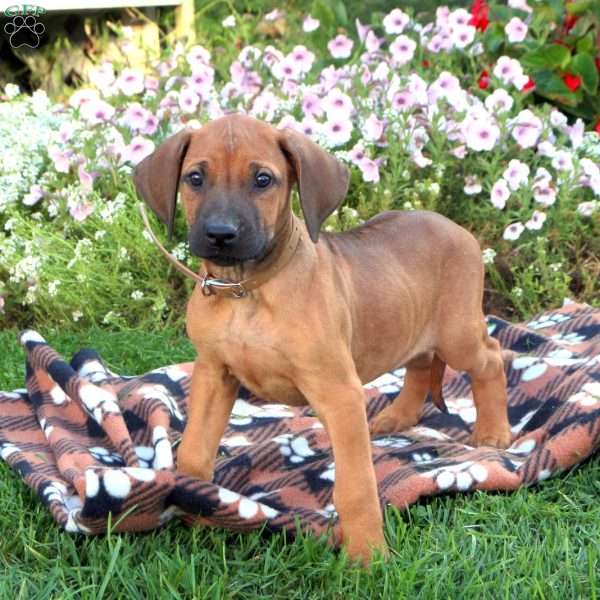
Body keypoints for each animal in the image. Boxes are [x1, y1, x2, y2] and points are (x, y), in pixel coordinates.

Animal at [132, 112, 510, 564]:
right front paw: (195, 503)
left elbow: (356, 487)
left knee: (491, 356)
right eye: (194, 178)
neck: (246, 290)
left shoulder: (339, 393)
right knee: (420, 365)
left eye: (263, 180)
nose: (221, 234)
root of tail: (458, 229)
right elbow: (193, 450)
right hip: (408, 323)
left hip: (457, 332)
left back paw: (494, 432)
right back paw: (397, 417)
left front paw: (368, 555)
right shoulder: (213, 373)